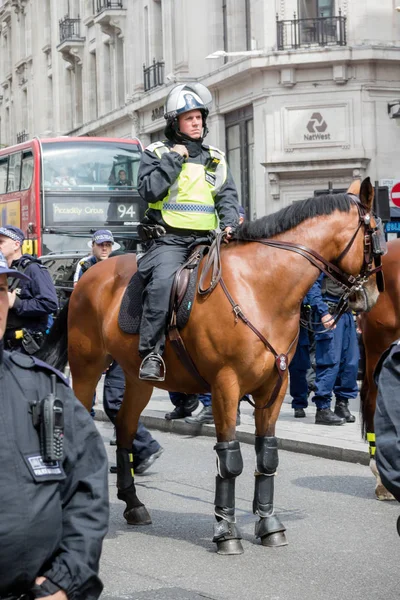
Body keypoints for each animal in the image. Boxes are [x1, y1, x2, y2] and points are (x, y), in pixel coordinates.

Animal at [40, 177, 382, 552]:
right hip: (87, 367)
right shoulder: (225, 386)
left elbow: (267, 455)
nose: (372, 297)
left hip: (138, 378)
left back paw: (133, 503)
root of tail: (86, 276)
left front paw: (269, 524)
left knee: (126, 427)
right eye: (375, 234)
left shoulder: (274, 388)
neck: (261, 286)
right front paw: (226, 531)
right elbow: (229, 459)